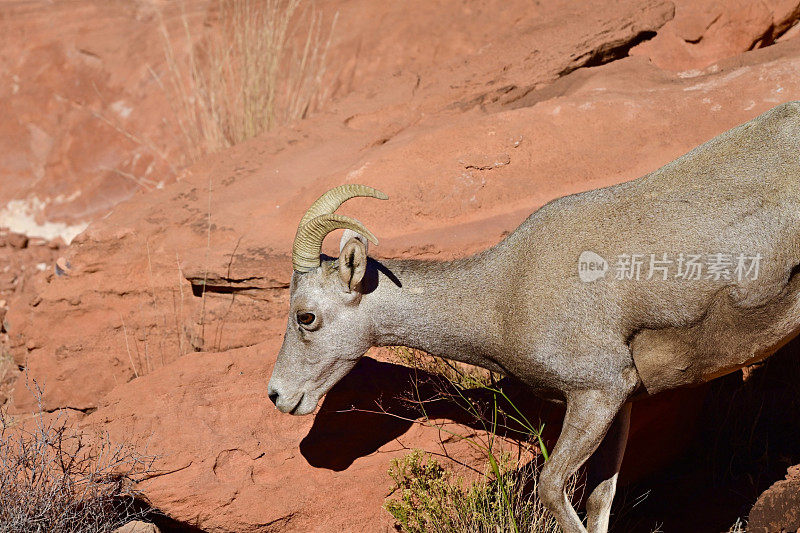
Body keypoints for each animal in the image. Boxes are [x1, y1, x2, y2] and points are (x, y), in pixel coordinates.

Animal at [268, 101, 800, 532]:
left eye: (306, 317)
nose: (278, 396)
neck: (504, 295)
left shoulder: (595, 394)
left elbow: (551, 490)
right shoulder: (620, 402)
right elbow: (600, 501)